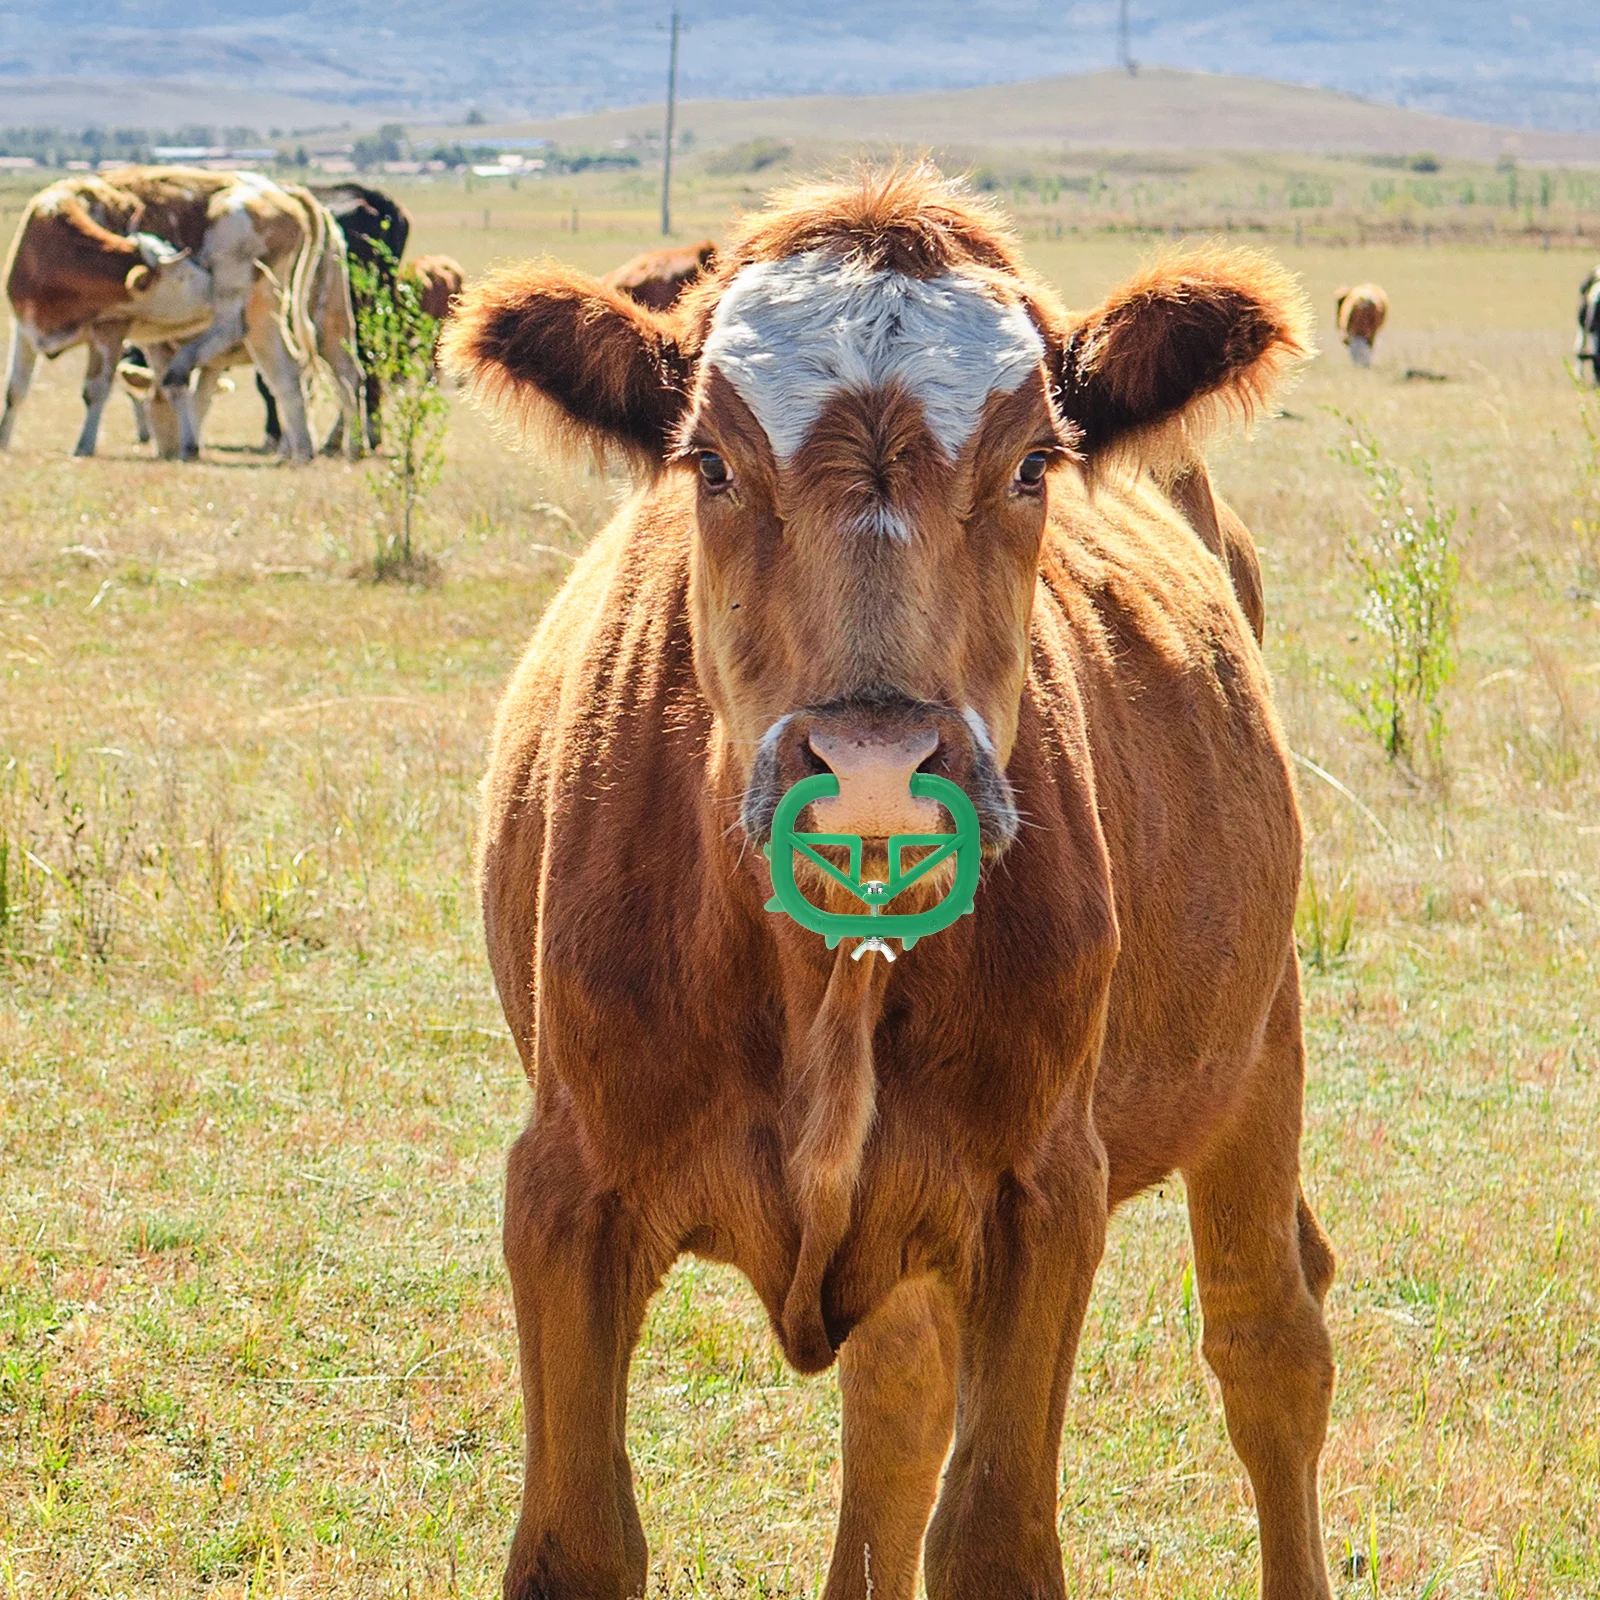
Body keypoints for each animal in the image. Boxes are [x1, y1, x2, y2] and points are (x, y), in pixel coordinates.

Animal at [1, 175, 214, 455]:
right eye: (183, 276)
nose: (217, 287)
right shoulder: (24, 328)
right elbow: (14, 390)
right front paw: (3, 443)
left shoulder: (109, 329)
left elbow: (96, 389)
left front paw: (85, 444)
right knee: (174, 386)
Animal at [444, 167, 1334, 1600]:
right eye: (709, 463)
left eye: (1032, 464)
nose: (872, 766)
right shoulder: (563, 1189)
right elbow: (578, 1541)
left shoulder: (1042, 1196)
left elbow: (1000, 1536)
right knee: (900, 1405)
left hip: (1259, 1034)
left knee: (1268, 1340)